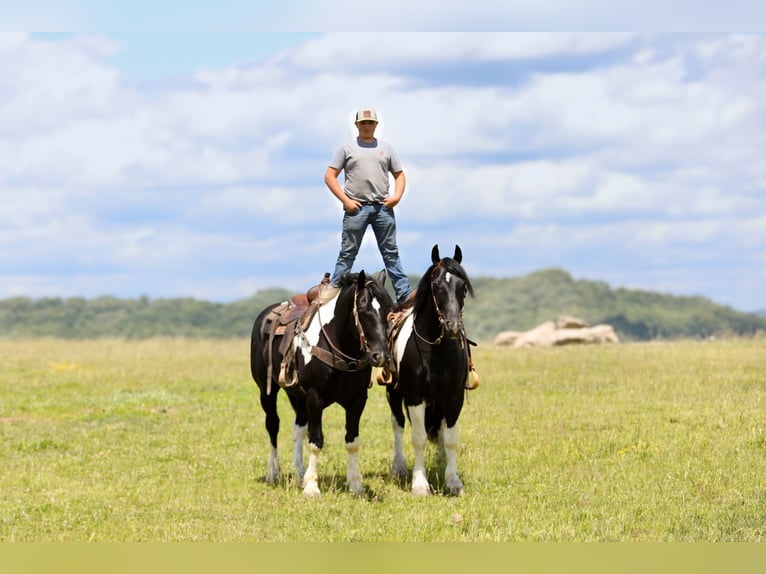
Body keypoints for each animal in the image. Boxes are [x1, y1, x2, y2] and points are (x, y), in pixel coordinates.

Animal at [250, 270, 393, 497]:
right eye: (362, 307)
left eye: (389, 308)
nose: (381, 356)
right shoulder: (315, 398)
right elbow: (316, 440)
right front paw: (311, 487)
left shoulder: (357, 400)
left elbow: (352, 441)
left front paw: (356, 485)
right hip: (266, 390)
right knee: (273, 425)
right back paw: (273, 472)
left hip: (296, 394)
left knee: (298, 427)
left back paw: (299, 471)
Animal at [385, 244, 475, 496]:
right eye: (436, 286)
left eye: (463, 286)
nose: (453, 326)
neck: (437, 353)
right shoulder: (415, 397)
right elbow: (418, 437)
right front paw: (419, 483)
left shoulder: (454, 397)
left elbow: (451, 437)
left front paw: (453, 481)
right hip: (394, 393)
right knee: (398, 424)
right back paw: (399, 467)